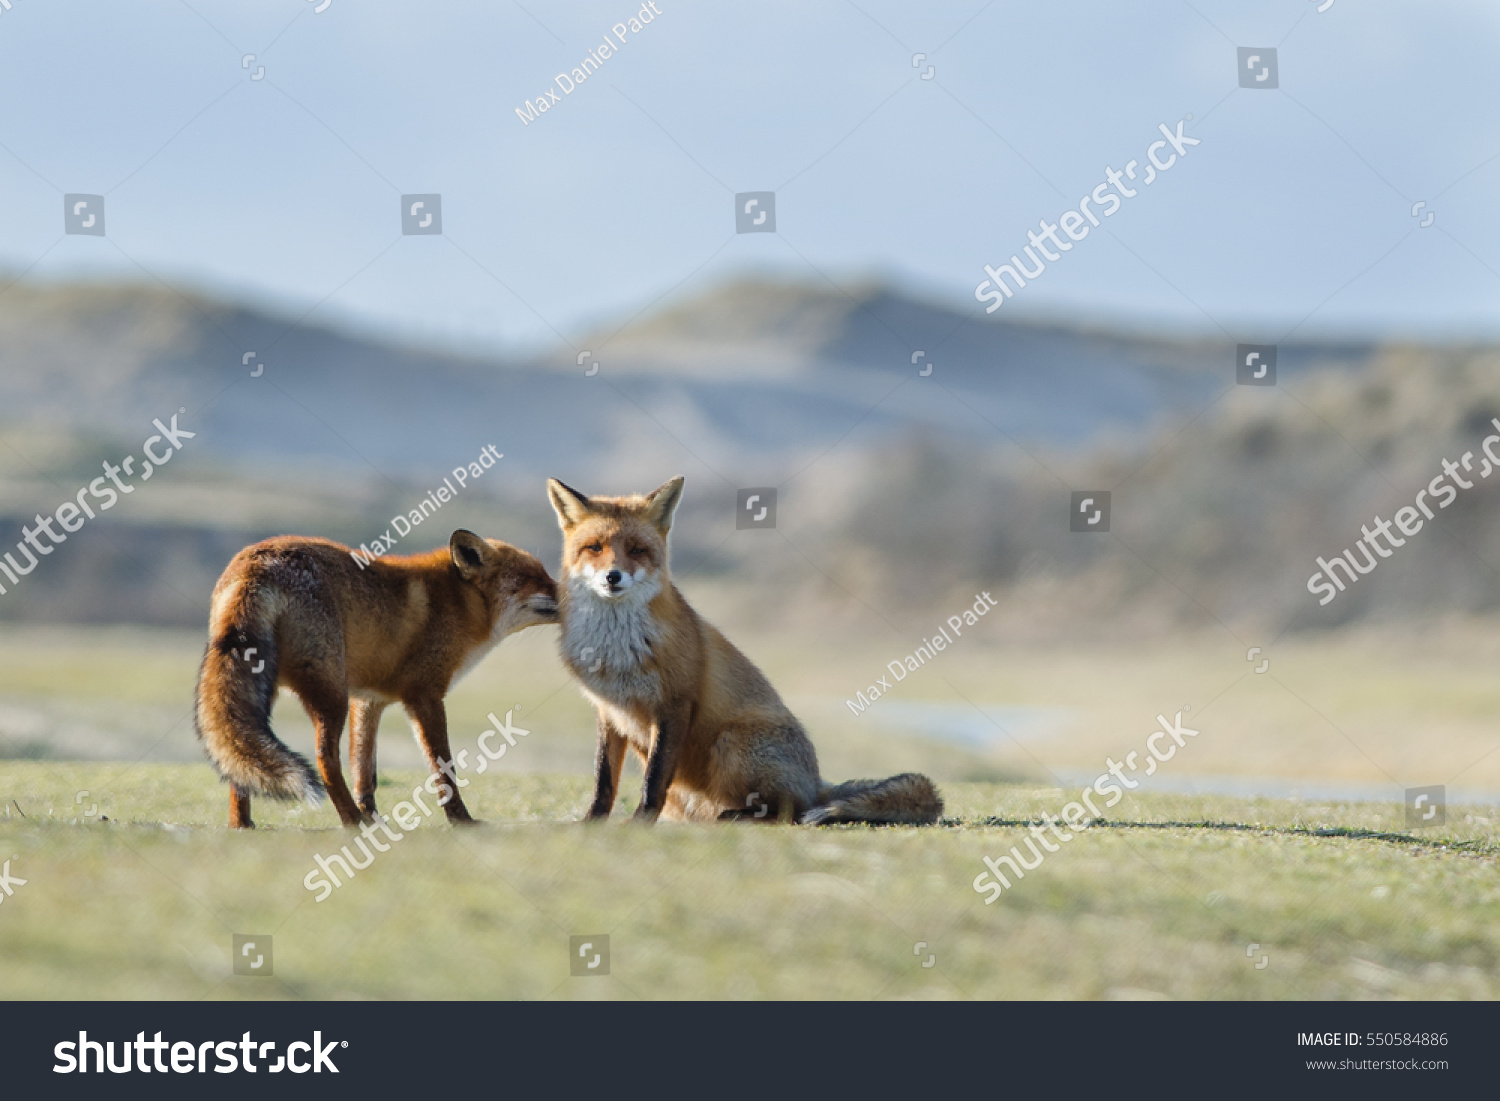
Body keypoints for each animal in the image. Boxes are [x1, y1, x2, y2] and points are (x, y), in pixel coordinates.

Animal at [194, 530, 557, 829]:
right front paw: (460, 820)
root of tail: (255, 561)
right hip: (330, 694)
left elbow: (364, 770)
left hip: (262, 690)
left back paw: (242, 823)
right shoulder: (424, 695)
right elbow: (443, 769)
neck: (456, 602)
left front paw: (373, 817)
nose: (567, 590)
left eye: (545, 574)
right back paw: (350, 821)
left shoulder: (369, 699)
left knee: (238, 757)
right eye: (533, 577)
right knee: (324, 758)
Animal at [546, 476, 943, 826]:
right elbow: (604, 782)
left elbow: (653, 782)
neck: (614, 649)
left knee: (790, 811)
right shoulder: (609, 711)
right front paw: (591, 823)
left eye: (636, 550)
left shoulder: (674, 703)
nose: (613, 577)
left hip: (732, 742)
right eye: (595, 547)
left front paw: (639, 824)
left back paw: (743, 815)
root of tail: (816, 784)